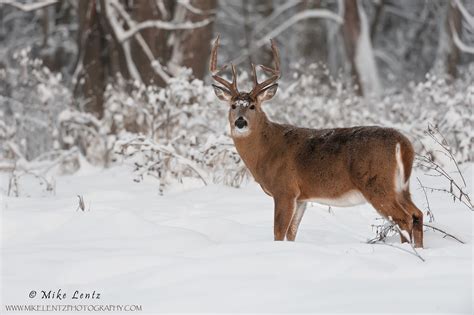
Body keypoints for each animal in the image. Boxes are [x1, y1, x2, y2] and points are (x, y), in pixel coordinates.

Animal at [209, 36, 424, 249]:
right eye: (233, 105)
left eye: (253, 106)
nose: (240, 122)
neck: (266, 151)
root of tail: (403, 143)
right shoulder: (301, 197)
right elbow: (291, 233)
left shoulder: (285, 189)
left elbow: (278, 232)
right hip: (402, 186)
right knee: (417, 213)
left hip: (378, 183)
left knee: (404, 218)